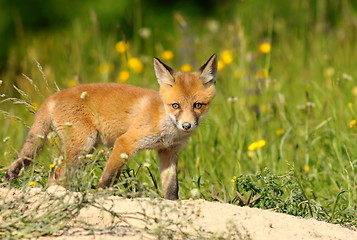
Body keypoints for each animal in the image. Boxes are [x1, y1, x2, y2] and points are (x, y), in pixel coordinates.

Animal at [6, 54, 217, 201]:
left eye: (198, 105)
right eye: (176, 105)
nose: (187, 125)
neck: (167, 124)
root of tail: (53, 97)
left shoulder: (169, 152)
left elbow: (171, 188)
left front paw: (172, 204)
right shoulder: (125, 143)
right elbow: (108, 177)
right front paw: (100, 196)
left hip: (85, 150)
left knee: (56, 173)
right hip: (82, 145)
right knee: (56, 173)